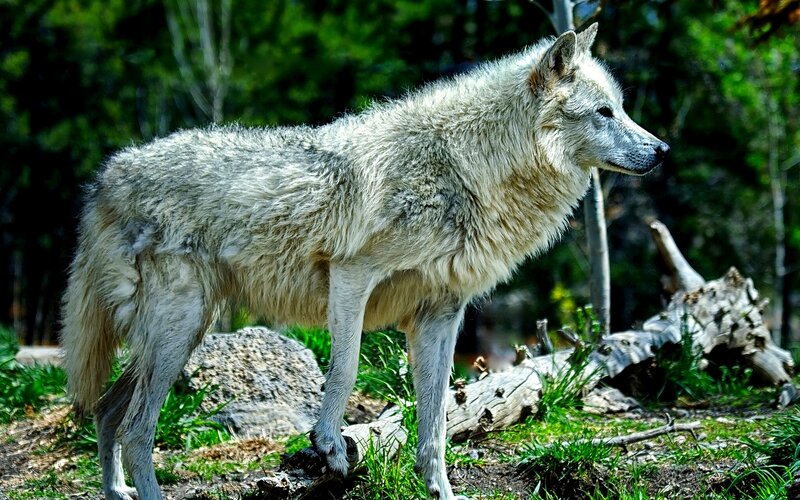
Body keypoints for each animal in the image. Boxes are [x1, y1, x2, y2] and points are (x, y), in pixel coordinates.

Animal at [61, 23, 668, 500]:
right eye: (604, 112)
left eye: (622, 108)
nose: (661, 151)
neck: (466, 165)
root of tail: (107, 176)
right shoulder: (351, 276)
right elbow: (346, 368)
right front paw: (328, 443)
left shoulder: (441, 315)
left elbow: (436, 418)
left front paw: (439, 489)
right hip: (177, 331)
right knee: (137, 429)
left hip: (179, 335)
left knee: (108, 412)